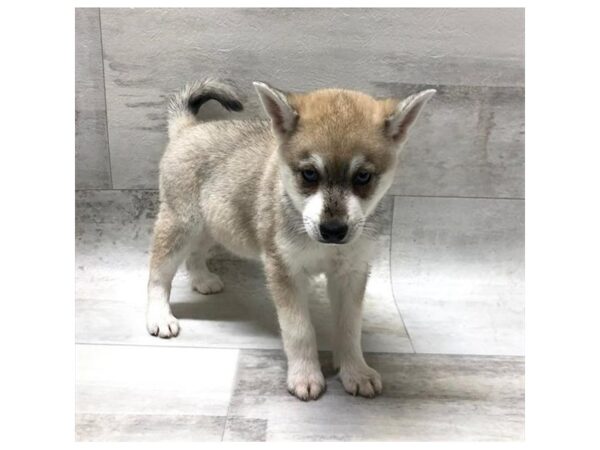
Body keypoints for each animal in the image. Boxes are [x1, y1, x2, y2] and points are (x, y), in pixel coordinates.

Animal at [145, 78, 436, 400]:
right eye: (309, 173)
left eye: (363, 176)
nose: (333, 230)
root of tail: (188, 128)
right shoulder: (286, 271)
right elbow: (300, 331)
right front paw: (305, 375)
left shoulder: (351, 274)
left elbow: (349, 328)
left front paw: (355, 370)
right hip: (181, 225)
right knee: (158, 273)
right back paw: (159, 316)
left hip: (216, 226)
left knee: (195, 254)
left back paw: (202, 279)